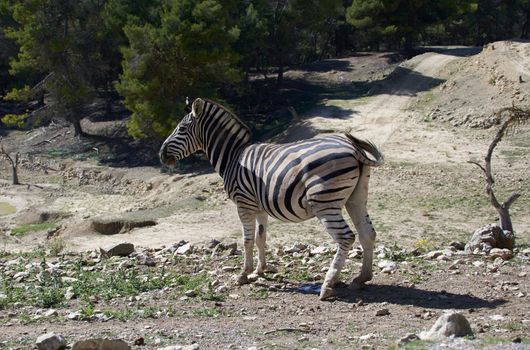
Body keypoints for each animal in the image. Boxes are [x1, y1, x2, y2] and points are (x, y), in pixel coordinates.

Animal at [158, 97, 384, 300]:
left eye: (181, 129)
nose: (161, 154)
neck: (233, 157)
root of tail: (352, 147)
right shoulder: (259, 207)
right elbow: (261, 238)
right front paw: (260, 270)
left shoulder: (244, 204)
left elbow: (247, 240)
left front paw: (243, 274)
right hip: (356, 197)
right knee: (367, 233)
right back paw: (361, 278)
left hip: (324, 202)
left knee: (346, 237)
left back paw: (328, 285)